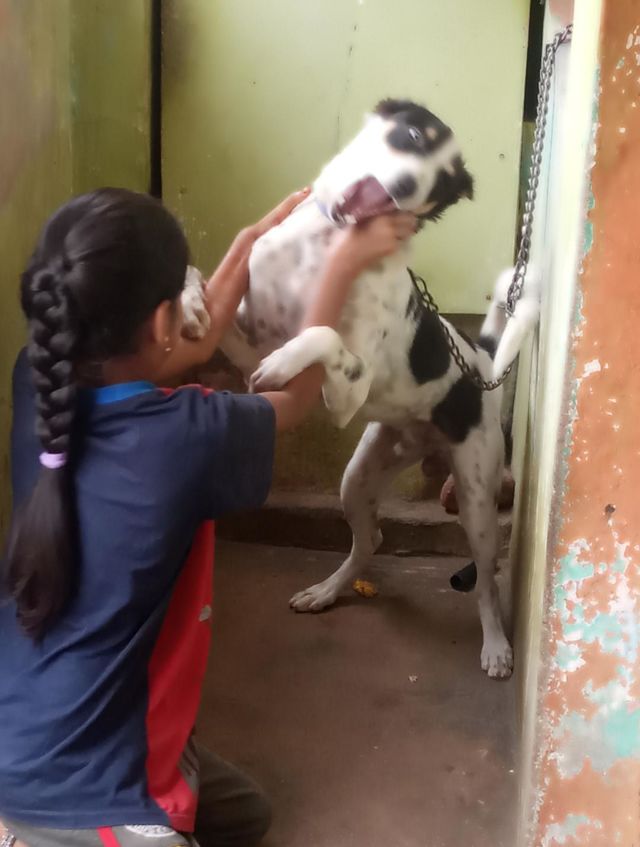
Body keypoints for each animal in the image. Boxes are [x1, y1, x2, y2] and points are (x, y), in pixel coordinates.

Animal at [182, 99, 539, 678]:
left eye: (441, 182)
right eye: (413, 136)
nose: (408, 185)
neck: (328, 240)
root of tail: (480, 359)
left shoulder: (344, 392)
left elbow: (320, 338)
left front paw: (284, 362)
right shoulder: (243, 339)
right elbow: (197, 278)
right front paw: (189, 304)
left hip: (476, 498)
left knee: (486, 579)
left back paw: (495, 646)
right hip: (360, 474)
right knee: (370, 539)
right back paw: (327, 591)